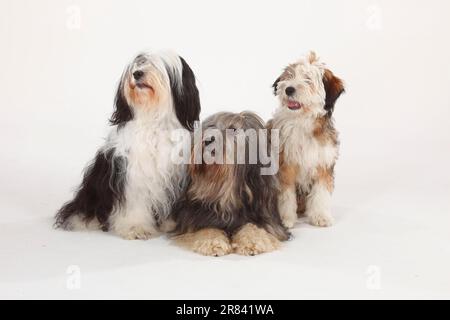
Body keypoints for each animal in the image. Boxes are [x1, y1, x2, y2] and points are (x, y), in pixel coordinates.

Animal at [54, 50, 200, 240]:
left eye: (158, 66)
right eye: (138, 64)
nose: (137, 74)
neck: (152, 120)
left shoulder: (173, 176)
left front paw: (169, 224)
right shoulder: (132, 173)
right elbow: (135, 202)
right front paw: (136, 228)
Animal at [170, 111, 292, 256]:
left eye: (233, 129)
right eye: (211, 126)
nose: (208, 140)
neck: (226, 196)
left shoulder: (266, 217)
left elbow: (254, 227)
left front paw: (252, 241)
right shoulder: (194, 218)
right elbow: (206, 228)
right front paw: (213, 243)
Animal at [268, 52, 346, 228]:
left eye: (308, 79)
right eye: (290, 76)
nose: (289, 89)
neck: (302, 122)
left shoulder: (323, 164)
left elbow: (321, 193)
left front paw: (321, 216)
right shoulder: (286, 166)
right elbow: (286, 196)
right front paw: (286, 219)